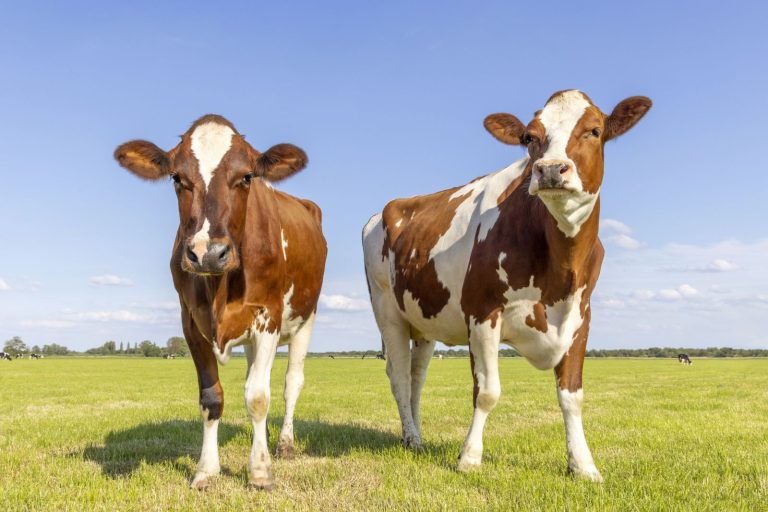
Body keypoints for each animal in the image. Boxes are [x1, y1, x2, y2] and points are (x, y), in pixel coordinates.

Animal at [114, 115, 327, 490]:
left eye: (246, 177)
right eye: (177, 178)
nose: (208, 253)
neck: (220, 288)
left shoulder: (268, 316)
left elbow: (258, 396)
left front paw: (260, 471)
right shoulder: (190, 322)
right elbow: (212, 398)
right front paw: (206, 470)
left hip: (306, 318)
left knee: (290, 384)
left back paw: (284, 444)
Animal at [363, 90, 651, 481]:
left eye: (594, 130)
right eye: (529, 137)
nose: (550, 169)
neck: (560, 267)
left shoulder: (580, 317)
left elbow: (572, 395)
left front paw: (583, 465)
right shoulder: (483, 313)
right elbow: (487, 392)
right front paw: (469, 458)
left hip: (424, 321)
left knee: (416, 376)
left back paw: (416, 436)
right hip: (387, 311)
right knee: (399, 377)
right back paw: (412, 438)